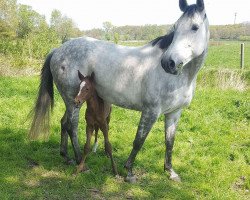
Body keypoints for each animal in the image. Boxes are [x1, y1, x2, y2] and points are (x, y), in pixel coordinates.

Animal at [29, 0, 209, 182]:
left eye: (194, 27)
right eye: (175, 27)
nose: (168, 63)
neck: (180, 78)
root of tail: (57, 50)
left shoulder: (174, 113)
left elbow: (170, 142)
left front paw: (170, 171)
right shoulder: (150, 111)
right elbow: (139, 140)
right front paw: (129, 172)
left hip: (72, 101)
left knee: (64, 123)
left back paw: (66, 157)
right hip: (74, 102)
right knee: (71, 127)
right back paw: (80, 161)